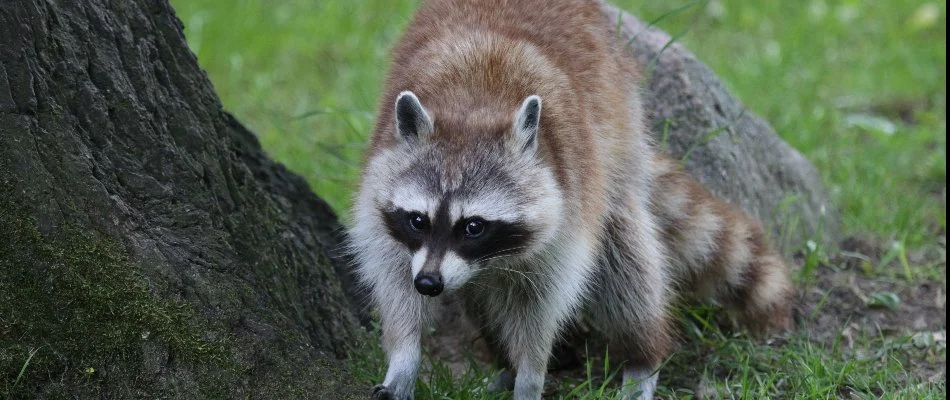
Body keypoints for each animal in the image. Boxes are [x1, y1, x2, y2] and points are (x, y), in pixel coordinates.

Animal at [350, 0, 796, 400]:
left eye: (473, 226)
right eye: (418, 220)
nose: (429, 283)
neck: (472, 105)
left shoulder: (570, 198)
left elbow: (544, 301)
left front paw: (531, 373)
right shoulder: (382, 183)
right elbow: (394, 277)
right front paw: (405, 358)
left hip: (619, 129)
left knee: (625, 261)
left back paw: (641, 356)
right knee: (482, 297)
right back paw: (503, 360)